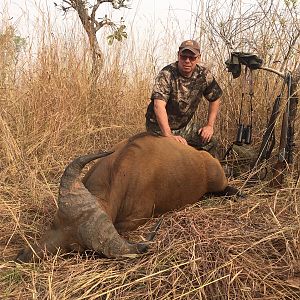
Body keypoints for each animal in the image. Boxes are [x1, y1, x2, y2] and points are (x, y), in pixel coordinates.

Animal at [16, 132, 238, 262]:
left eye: (74, 248)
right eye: (54, 223)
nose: (22, 257)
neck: (121, 171)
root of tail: (205, 158)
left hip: (218, 182)